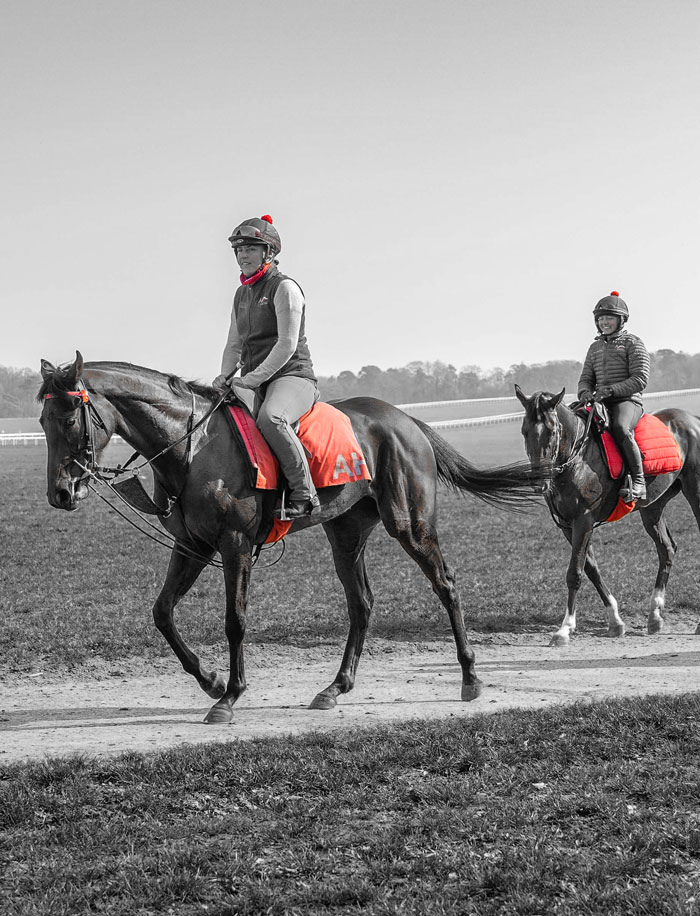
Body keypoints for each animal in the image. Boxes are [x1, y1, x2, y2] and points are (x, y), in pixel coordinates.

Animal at [38, 352, 544, 724]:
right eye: (42, 422)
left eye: (69, 420)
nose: (60, 493)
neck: (192, 449)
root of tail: (406, 421)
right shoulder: (193, 546)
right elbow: (162, 613)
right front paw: (210, 680)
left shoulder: (235, 544)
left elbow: (235, 620)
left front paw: (230, 696)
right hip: (346, 533)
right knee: (361, 603)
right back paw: (335, 687)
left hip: (410, 524)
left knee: (445, 584)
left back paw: (470, 677)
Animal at [516, 382, 700, 648]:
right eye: (524, 431)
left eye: (551, 430)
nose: (539, 482)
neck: (578, 460)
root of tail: (692, 420)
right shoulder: (568, 525)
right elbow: (591, 568)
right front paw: (615, 621)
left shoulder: (583, 520)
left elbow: (575, 572)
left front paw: (564, 629)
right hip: (652, 508)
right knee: (667, 549)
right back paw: (655, 616)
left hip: (695, 493)